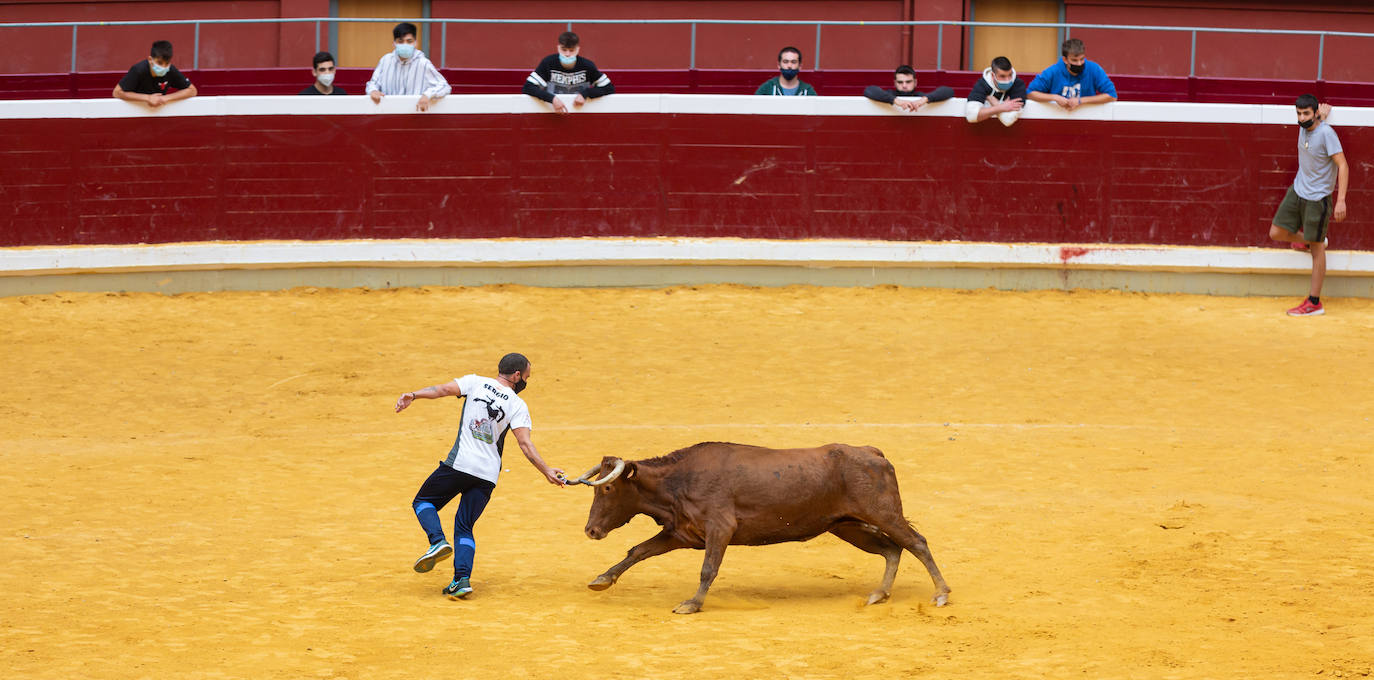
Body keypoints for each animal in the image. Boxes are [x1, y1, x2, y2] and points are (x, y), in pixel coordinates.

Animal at [574, 445, 950, 615]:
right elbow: (638, 550)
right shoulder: (682, 533)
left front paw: (692, 604)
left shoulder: (720, 528)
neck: (676, 482)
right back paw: (879, 593)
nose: (591, 531)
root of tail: (873, 453)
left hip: (883, 514)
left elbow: (708, 568)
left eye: (608, 488)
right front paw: (602, 580)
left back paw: (941, 594)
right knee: (892, 549)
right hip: (848, 527)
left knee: (916, 542)